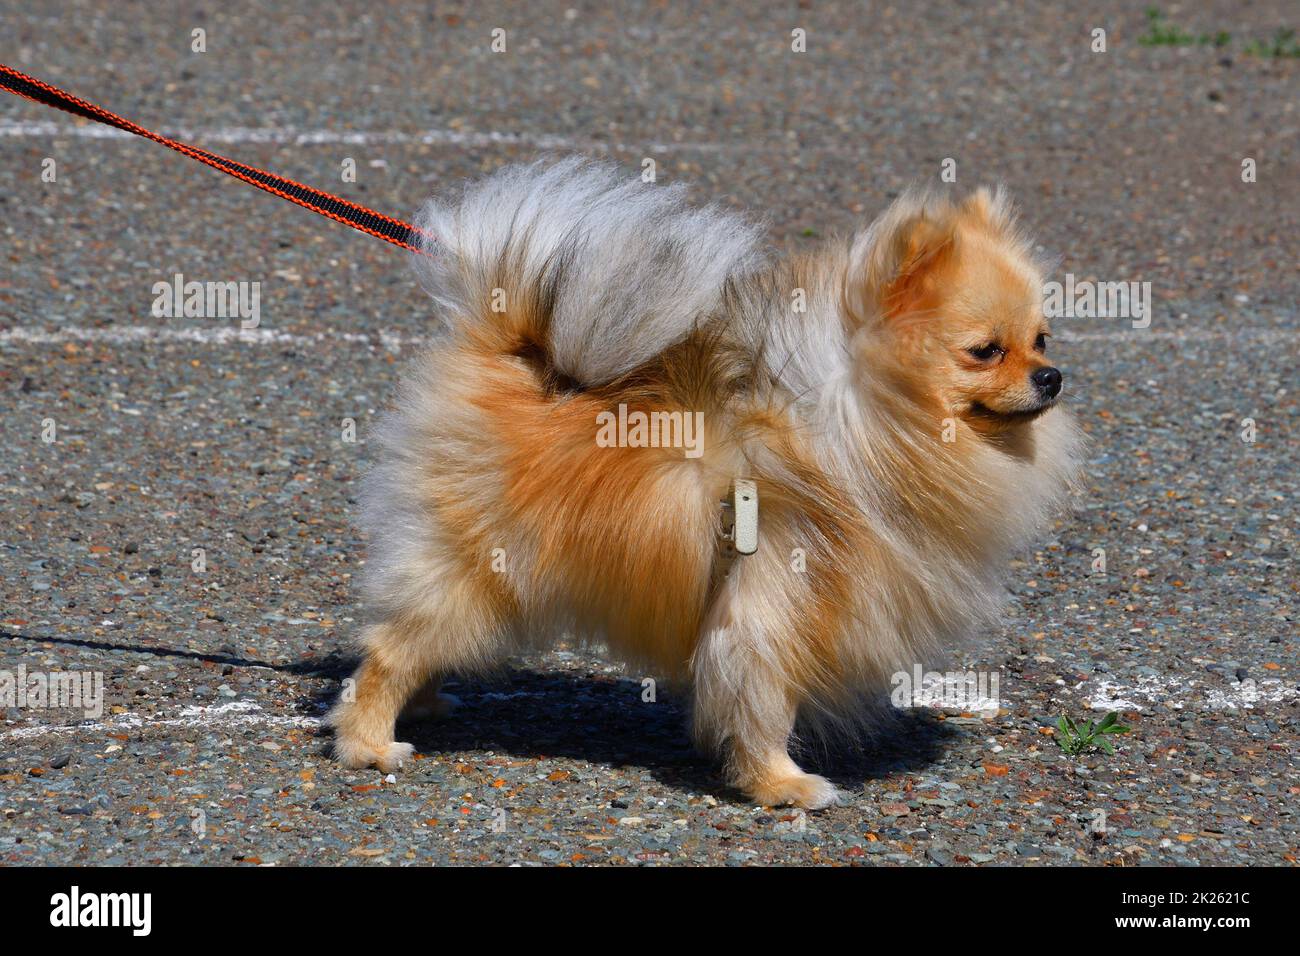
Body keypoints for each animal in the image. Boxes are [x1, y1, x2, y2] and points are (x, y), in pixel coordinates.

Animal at [330, 155, 1081, 806]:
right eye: (985, 351)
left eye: (1042, 339)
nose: (1052, 377)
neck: (865, 418)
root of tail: (507, 354)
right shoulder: (770, 599)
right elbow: (764, 702)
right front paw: (782, 785)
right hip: (475, 568)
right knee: (389, 649)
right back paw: (370, 743)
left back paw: (426, 702)